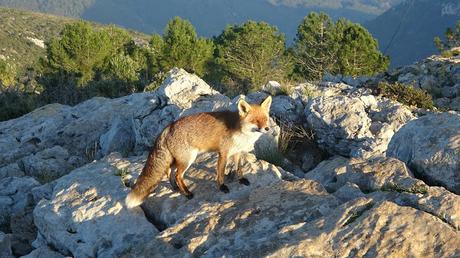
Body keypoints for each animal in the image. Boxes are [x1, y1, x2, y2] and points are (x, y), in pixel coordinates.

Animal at [124, 95, 272, 209]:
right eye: (255, 121)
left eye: (265, 119)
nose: (267, 129)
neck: (240, 132)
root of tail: (168, 126)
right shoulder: (223, 153)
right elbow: (220, 173)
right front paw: (222, 187)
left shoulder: (237, 152)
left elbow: (239, 168)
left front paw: (241, 179)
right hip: (188, 159)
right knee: (178, 176)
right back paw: (187, 193)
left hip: (178, 160)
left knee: (169, 172)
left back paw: (175, 188)